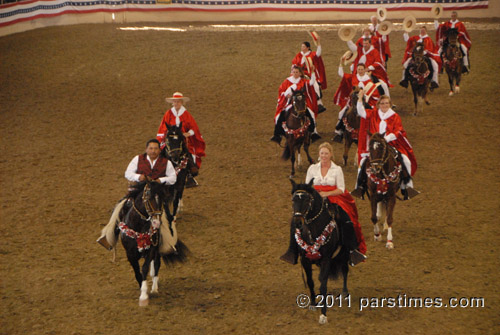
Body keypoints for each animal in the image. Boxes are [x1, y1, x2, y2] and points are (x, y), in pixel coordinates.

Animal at [292, 181, 350, 326]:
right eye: (293, 200)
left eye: (307, 200)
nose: (297, 222)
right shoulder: (305, 260)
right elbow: (311, 281)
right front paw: (313, 304)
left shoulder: (326, 260)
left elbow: (323, 284)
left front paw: (323, 315)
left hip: (345, 253)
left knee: (345, 270)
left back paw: (345, 293)